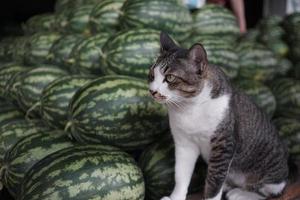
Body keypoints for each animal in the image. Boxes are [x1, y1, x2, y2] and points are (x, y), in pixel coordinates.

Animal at [148, 32, 288, 200]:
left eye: (170, 78)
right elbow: (181, 175)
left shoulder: (224, 145)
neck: (189, 108)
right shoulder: (184, 143)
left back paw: (241, 193)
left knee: (268, 192)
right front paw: (176, 197)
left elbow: (215, 180)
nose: (153, 91)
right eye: (151, 75)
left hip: (268, 173)